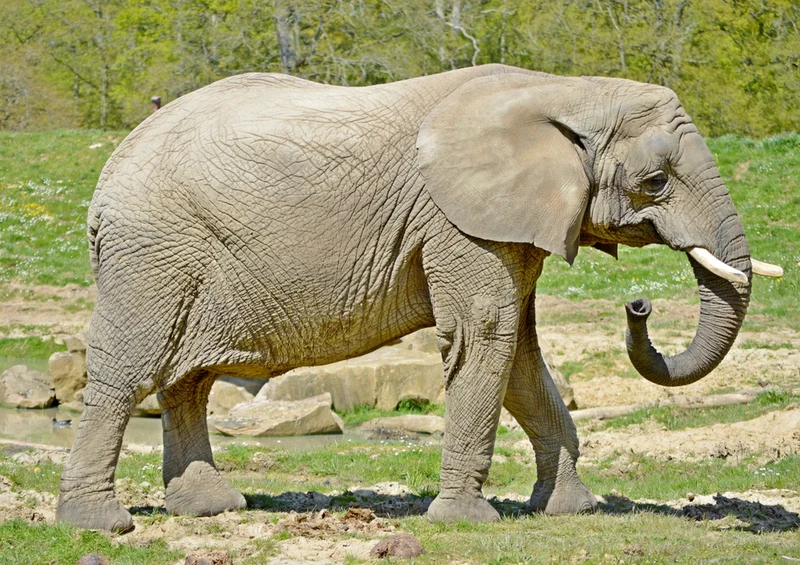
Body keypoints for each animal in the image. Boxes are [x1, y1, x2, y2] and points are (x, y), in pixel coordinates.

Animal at [55, 64, 783, 532]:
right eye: (656, 182)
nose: (638, 306)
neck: (566, 90)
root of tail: (107, 175)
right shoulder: (456, 221)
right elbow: (486, 335)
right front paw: (465, 521)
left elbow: (519, 352)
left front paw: (571, 510)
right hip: (154, 248)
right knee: (131, 369)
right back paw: (99, 525)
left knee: (189, 378)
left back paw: (211, 509)